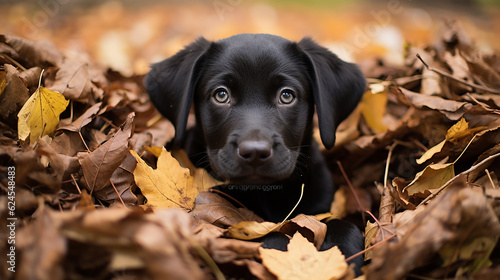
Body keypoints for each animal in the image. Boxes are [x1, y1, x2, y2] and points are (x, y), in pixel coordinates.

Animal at [146, 34, 366, 272]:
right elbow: (269, 237)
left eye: (286, 96)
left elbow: (346, 227)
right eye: (221, 95)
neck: (264, 192)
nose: (254, 152)